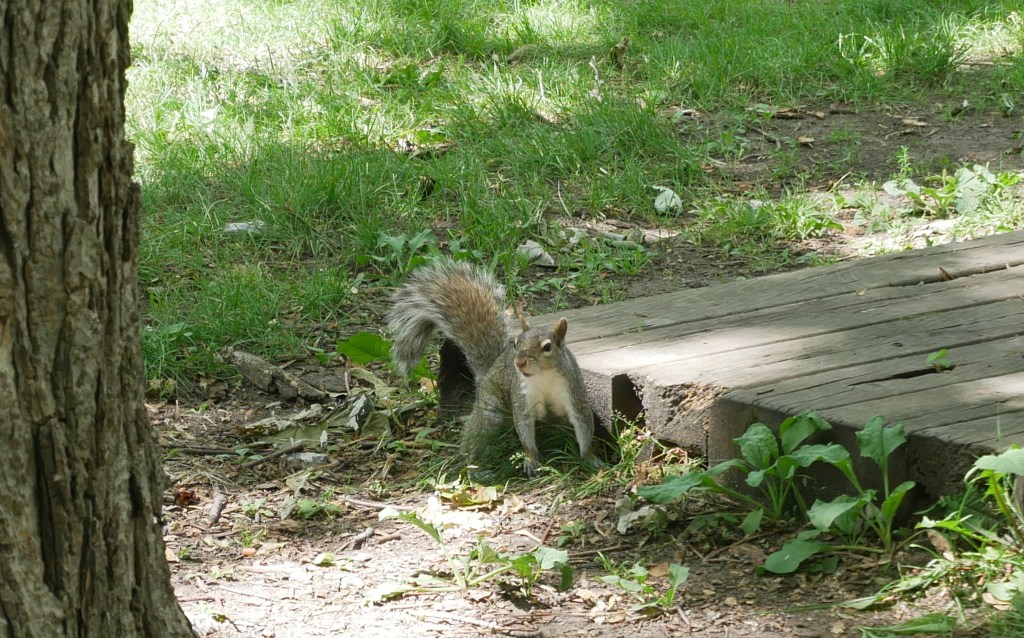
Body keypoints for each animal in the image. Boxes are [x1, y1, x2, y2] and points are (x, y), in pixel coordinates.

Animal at [388, 259, 599, 476]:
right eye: (516, 343)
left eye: (547, 347)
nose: (519, 362)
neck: (542, 376)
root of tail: (487, 373)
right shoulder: (521, 396)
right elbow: (524, 428)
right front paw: (531, 459)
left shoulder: (573, 392)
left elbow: (584, 425)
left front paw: (590, 458)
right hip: (489, 410)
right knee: (474, 436)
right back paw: (474, 467)